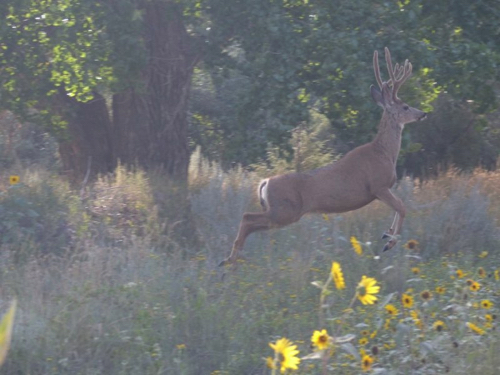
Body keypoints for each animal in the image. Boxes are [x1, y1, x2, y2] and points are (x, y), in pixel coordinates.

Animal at [221, 47, 428, 268]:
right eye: (405, 106)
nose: (423, 113)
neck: (384, 152)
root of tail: (265, 182)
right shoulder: (378, 186)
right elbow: (402, 207)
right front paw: (390, 242)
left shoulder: (382, 189)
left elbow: (399, 208)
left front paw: (387, 234)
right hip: (285, 210)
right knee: (247, 217)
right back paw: (229, 260)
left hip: (281, 212)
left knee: (250, 222)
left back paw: (230, 260)